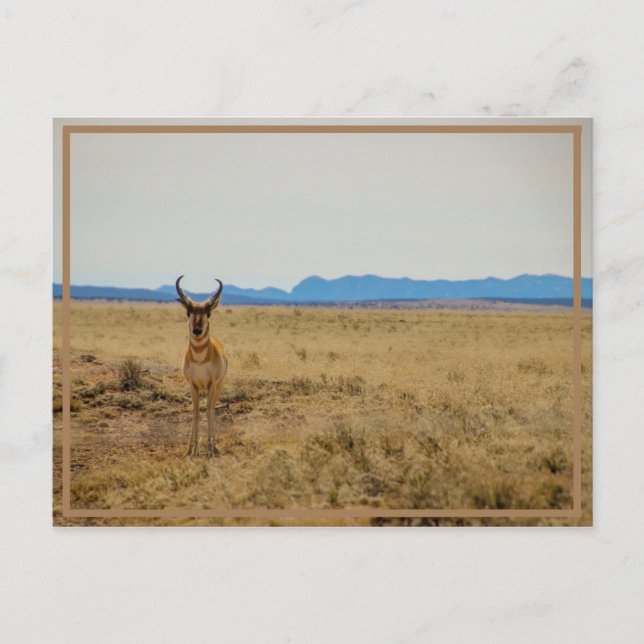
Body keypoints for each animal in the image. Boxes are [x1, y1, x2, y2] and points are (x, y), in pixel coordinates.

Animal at [175, 275, 228, 457]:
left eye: (208, 313)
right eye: (188, 312)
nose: (197, 331)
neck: (200, 359)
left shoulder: (212, 384)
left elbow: (208, 411)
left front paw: (210, 449)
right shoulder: (193, 385)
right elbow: (196, 412)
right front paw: (192, 449)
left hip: (218, 387)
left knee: (212, 409)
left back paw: (215, 446)